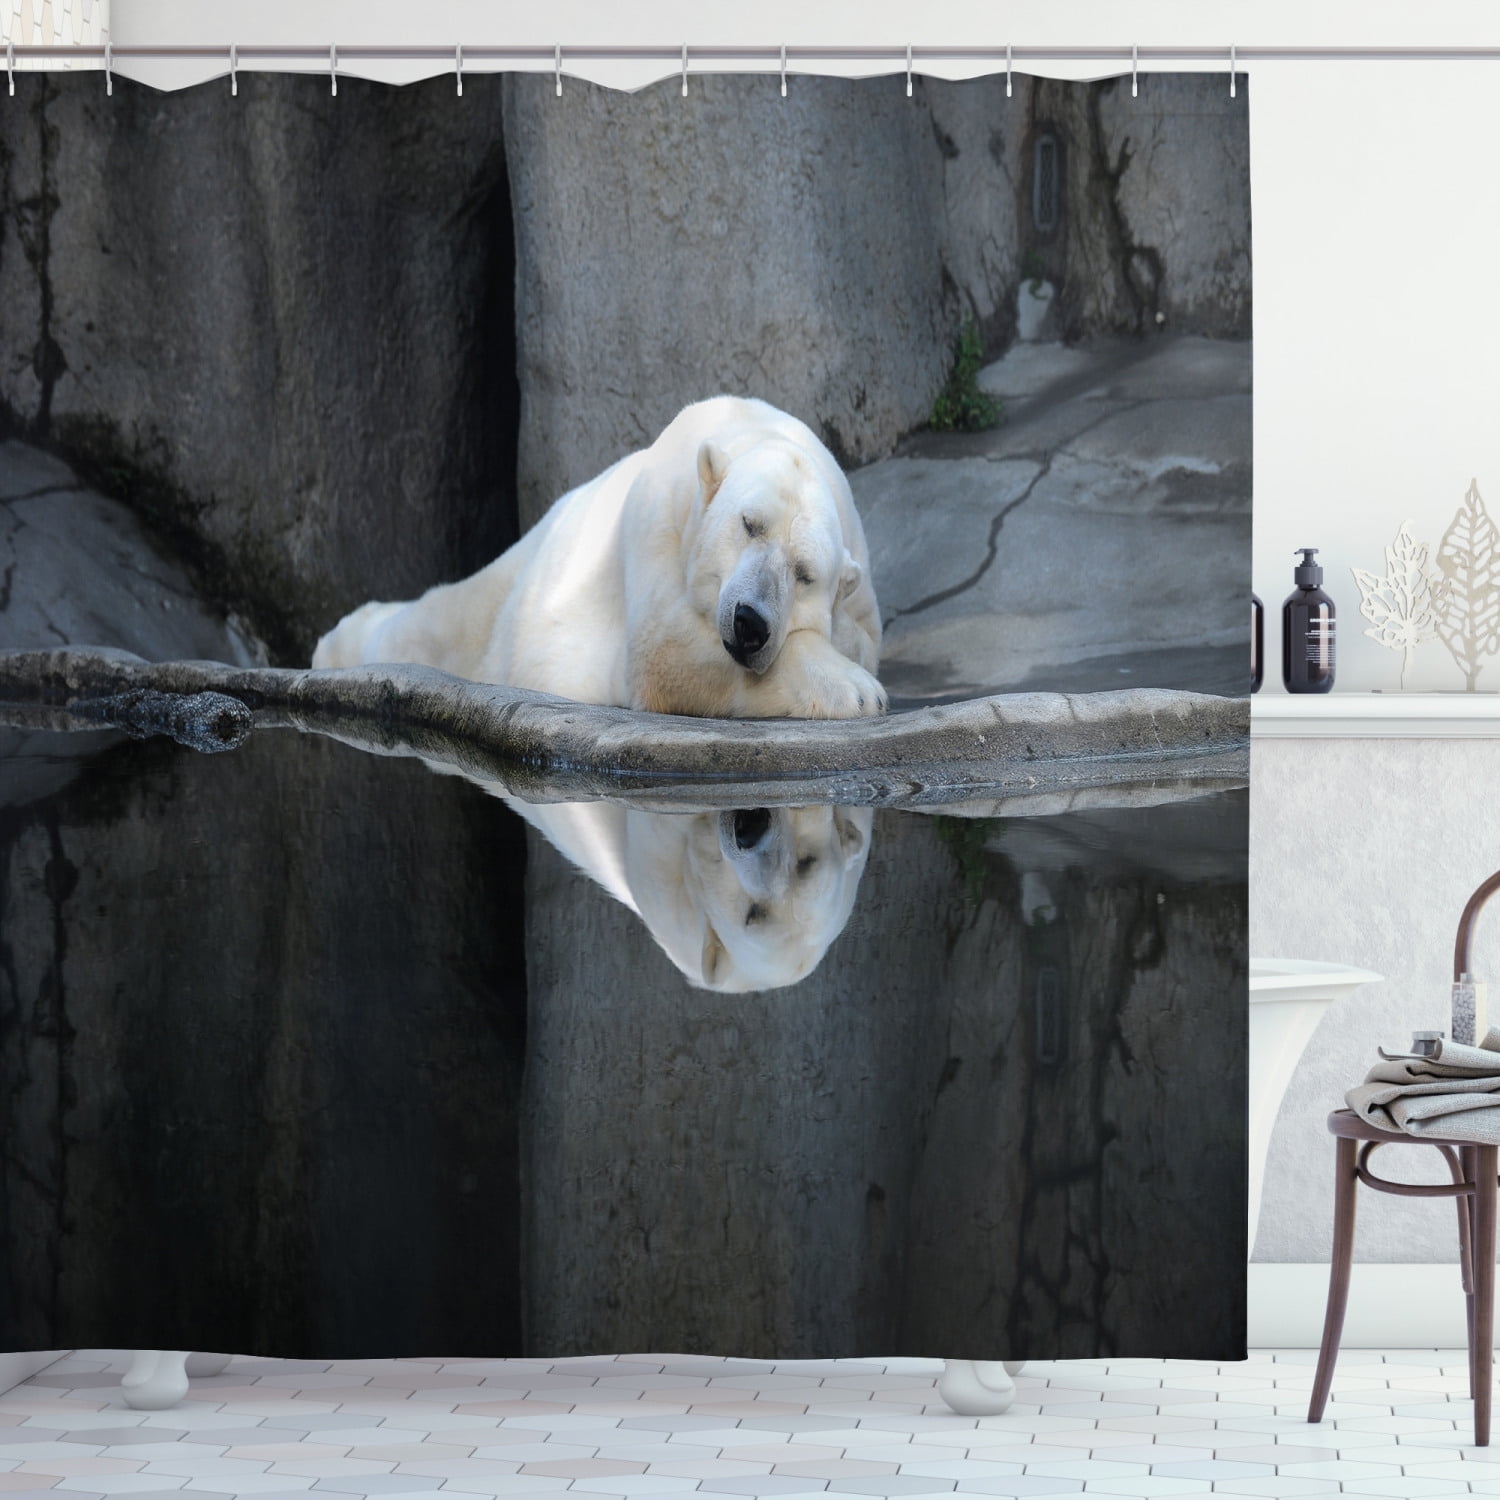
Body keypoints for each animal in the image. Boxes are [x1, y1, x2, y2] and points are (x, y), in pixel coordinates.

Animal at [312, 395, 886, 719]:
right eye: (749, 524)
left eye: (804, 574)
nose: (749, 623)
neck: (749, 427)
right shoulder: (660, 519)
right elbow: (661, 654)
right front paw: (858, 691)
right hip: (504, 602)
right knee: (430, 624)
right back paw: (335, 644)